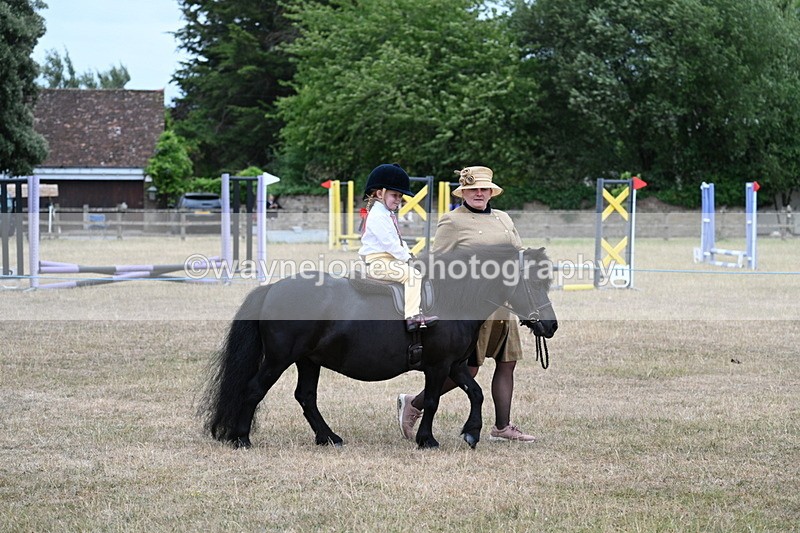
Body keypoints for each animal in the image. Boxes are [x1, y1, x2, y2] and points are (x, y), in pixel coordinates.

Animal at [198, 243, 558, 449]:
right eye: (535, 281)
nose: (551, 326)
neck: (451, 298)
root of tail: (271, 289)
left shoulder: (454, 365)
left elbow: (477, 393)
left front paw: (471, 433)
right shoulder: (438, 365)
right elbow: (432, 400)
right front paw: (427, 440)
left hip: (308, 360)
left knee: (306, 397)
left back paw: (328, 438)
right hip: (278, 359)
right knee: (253, 389)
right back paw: (242, 438)